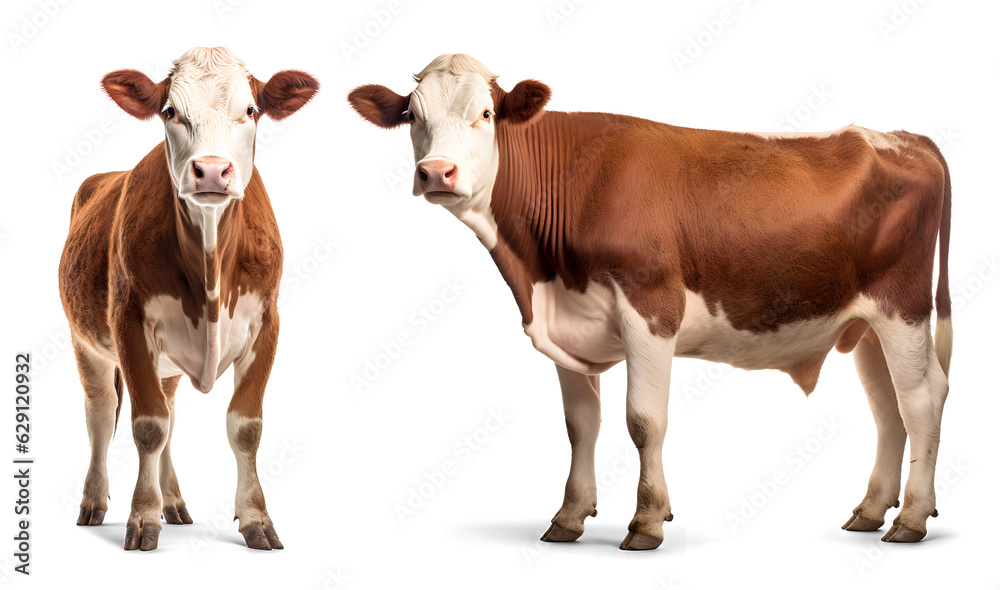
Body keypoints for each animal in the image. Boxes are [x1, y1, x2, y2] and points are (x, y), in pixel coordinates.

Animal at [57, 48, 320, 552]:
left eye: (251, 110)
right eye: (170, 112)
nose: (213, 170)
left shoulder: (267, 323)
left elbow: (244, 426)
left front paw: (256, 519)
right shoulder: (128, 321)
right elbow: (147, 425)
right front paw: (143, 517)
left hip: (166, 364)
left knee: (170, 413)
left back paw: (174, 502)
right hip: (85, 343)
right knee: (100, 413)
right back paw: (94, 502)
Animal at [350, 54, 952, 552]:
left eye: (486, 113)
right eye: (412, 116)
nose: (436, 172)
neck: (538, 273)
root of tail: (905, 137)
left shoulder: (651, 308)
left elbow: (643, 421)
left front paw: (646, 522)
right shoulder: (567, 320)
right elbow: (580, 424)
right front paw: (569, 517)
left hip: (903, 306)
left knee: (922, 398)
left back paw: (911, 520)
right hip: (866, 323)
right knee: (888, 406)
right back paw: (871, 511)